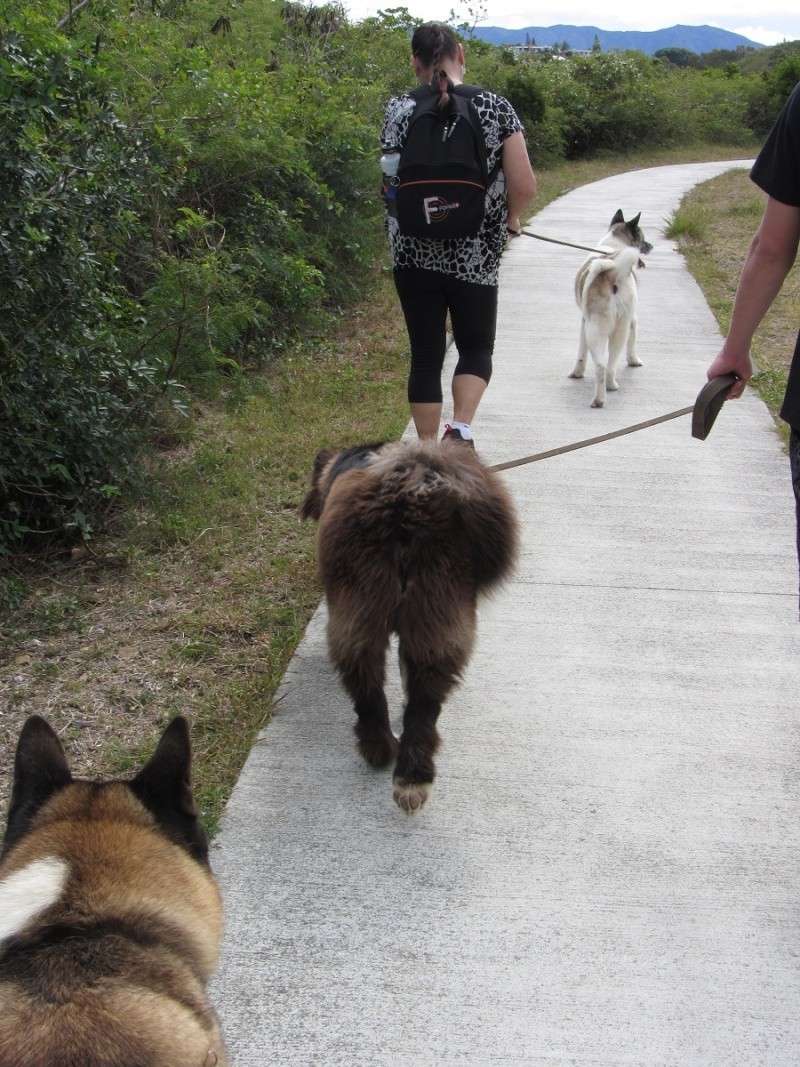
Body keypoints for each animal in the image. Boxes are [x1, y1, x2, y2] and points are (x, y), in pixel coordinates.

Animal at [302, 437, 520, 810]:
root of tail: (408, 496)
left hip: (364, 609)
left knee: (370, 692)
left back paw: (382, 753)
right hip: (433, 617)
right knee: (421, 705)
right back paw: (411, 776)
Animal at [571, 209, 652, 407]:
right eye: (642, 237)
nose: (651, 245)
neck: (613, 246)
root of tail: (612, 273)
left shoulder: (584, 321)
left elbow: (581, 351)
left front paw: (577, 372)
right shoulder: (632, 319)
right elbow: (633, 341)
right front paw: (634, 360)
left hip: (596, 328)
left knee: (601, 365)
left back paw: (600, 398)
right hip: (619, 328)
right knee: (610, 364)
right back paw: (610, 387)